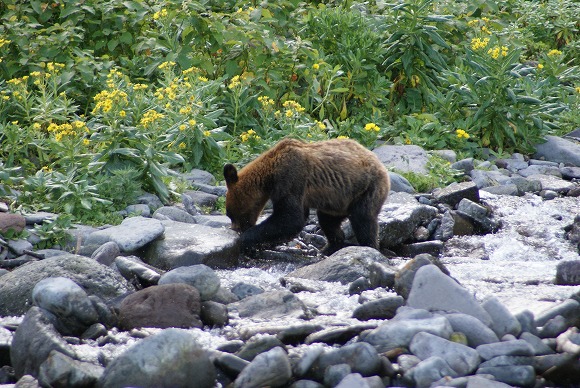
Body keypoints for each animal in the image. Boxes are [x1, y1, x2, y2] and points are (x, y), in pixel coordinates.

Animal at [222, 137, 390, 255]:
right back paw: (328, 248)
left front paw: (246, 241)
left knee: (363, 219)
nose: (236, 228)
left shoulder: (290, 179)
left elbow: (290, 219)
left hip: (367, 188)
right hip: (338, 202)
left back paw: (369, 246)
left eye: (230, 214)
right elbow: (295, 218)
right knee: (328, 221)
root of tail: (379, 163)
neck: (269, 177)